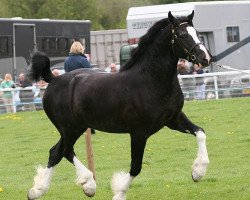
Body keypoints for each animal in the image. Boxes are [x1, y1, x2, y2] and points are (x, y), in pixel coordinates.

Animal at [26, 11, 211, 200]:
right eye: (182, 35)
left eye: (197, 33)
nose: (205, 58)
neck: (150, 81)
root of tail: (54, 79)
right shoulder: (139, 132)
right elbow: (136, 166)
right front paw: (119, 192)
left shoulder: (173, 119)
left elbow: (201, 132)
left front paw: (197, 172)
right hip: (69, 128)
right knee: (63, 151)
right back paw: (81, 185)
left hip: (76, 127)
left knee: (58, 152)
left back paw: (47, 190)